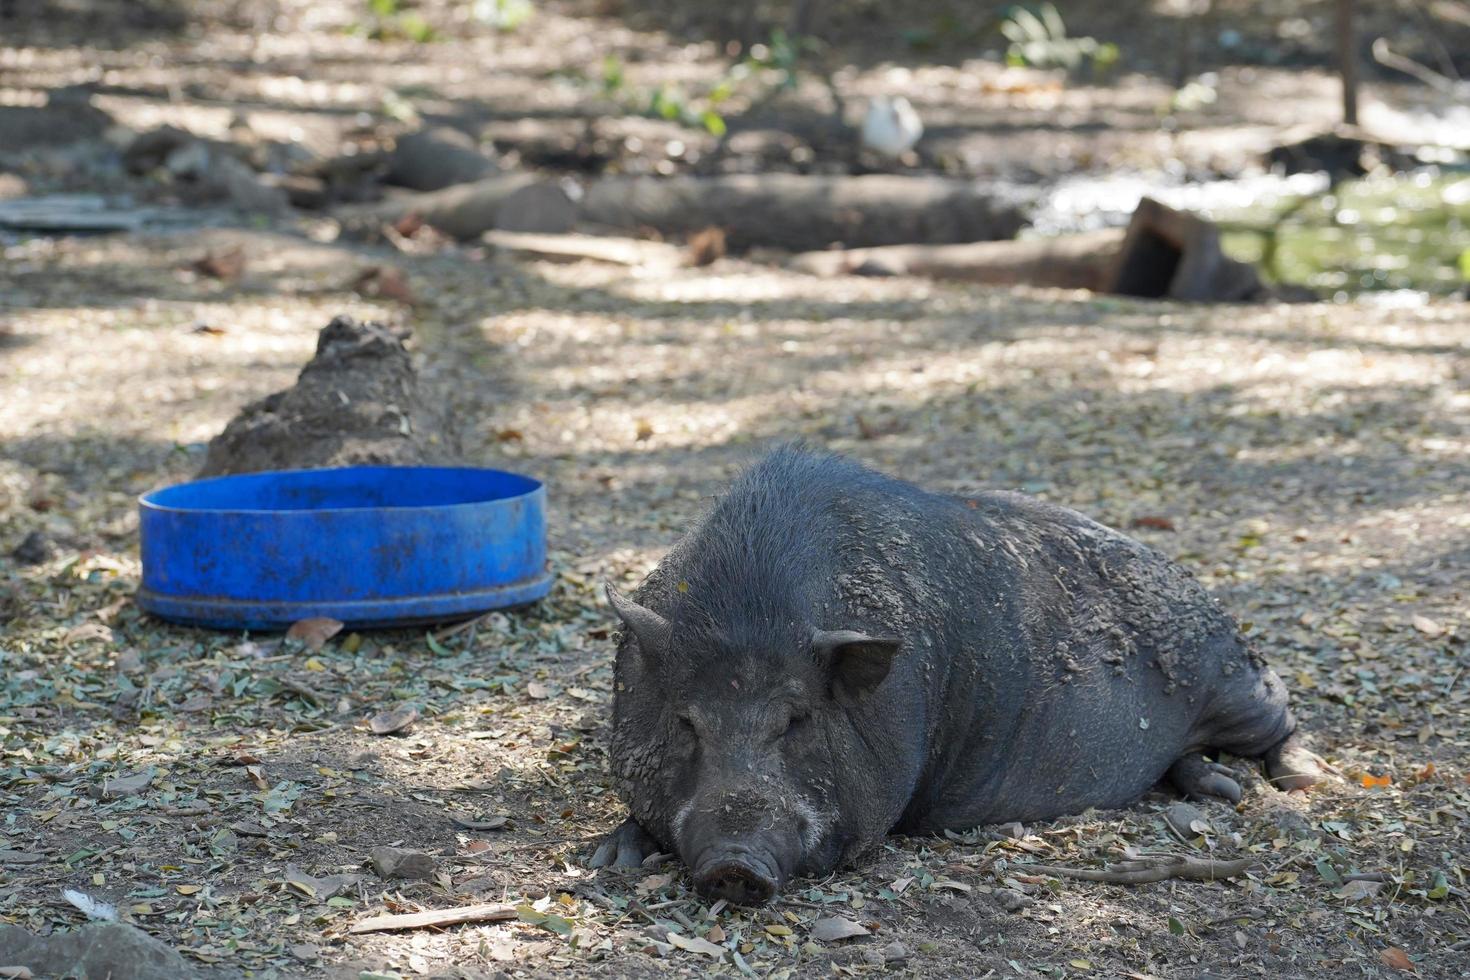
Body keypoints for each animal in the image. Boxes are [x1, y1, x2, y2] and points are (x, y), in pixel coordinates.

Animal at [590, 446, 1328, 905]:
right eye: (686, 721)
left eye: (797, 720)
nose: (734, 863)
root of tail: (1193, 581)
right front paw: (608, 860)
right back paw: (1221, 789)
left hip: (1236, 681)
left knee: (1283, 718)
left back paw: (1300, 783)